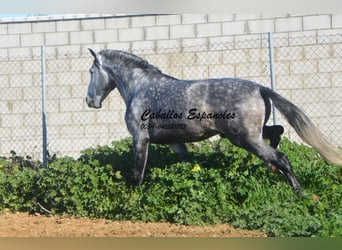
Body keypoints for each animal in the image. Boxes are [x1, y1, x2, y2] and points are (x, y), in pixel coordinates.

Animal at [85, 48, 342, 196]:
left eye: (91, 71)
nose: (90, 101)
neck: (140, 87)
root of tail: (259, 88)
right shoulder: (175, 142)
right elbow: (187, 164)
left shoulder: (140, 139)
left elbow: (138, 174)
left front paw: (133, 200)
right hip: (248, 134)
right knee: (277, 132)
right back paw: (273, 170)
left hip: (245, 138)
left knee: (282, 158)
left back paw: (300, 192)